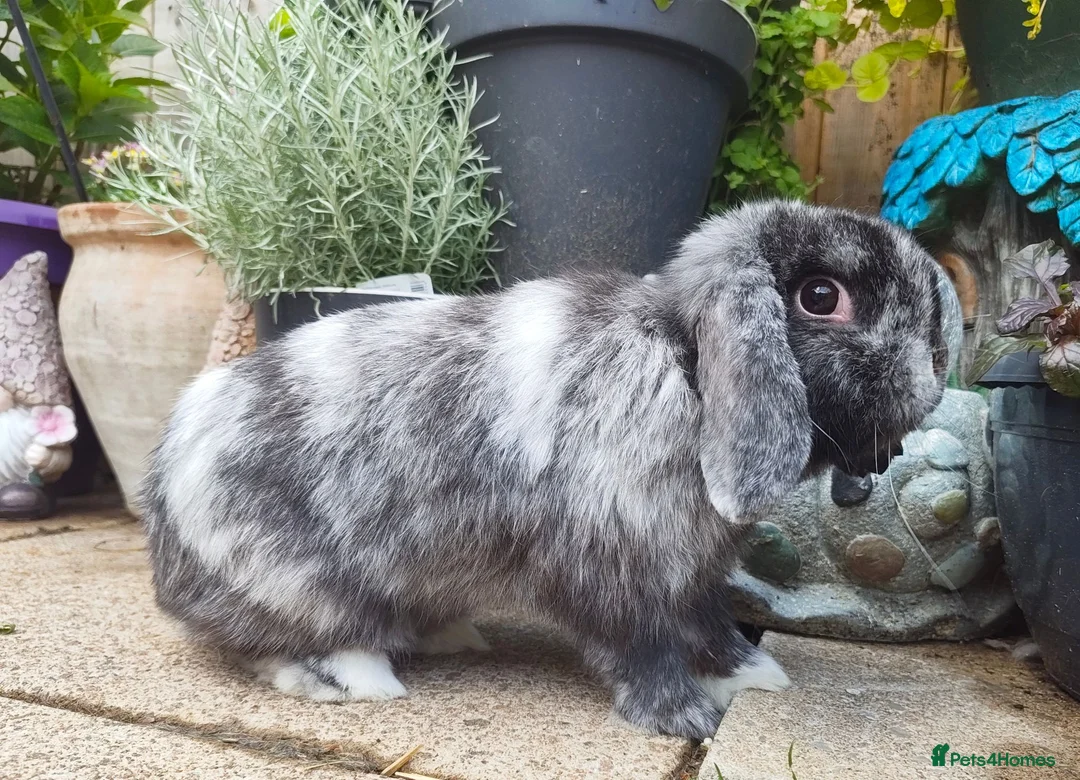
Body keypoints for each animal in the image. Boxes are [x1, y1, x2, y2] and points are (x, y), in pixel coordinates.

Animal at [141, 199, 956, 741]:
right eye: (821, 297)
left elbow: (709, 620)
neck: (686, 368)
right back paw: (359, 680)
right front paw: (686, 718)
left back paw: (453, 635)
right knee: (265, 646)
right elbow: (644, 646)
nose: (935, 373)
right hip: (297, 583)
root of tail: (164, 527)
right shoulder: (614, 571)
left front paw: (753, 674)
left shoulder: (691, 572)